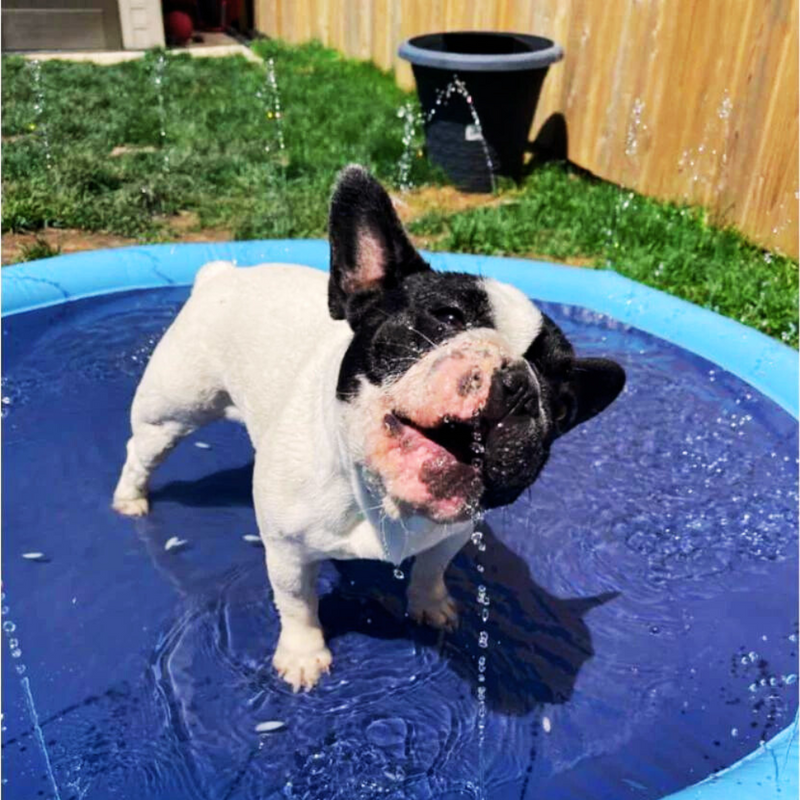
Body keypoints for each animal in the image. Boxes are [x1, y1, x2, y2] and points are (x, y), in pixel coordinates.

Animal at [112, 166, 624, 692]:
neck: (381, 498)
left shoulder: (452, 534)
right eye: (448, 317)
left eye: (560, 403)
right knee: (142, 450)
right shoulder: (287, 550)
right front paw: (303, 654)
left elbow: (432, 569)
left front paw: (431, 605)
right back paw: (131, 498)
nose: (519, 382)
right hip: (173, 408)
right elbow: (297, 602)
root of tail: (225, 273)